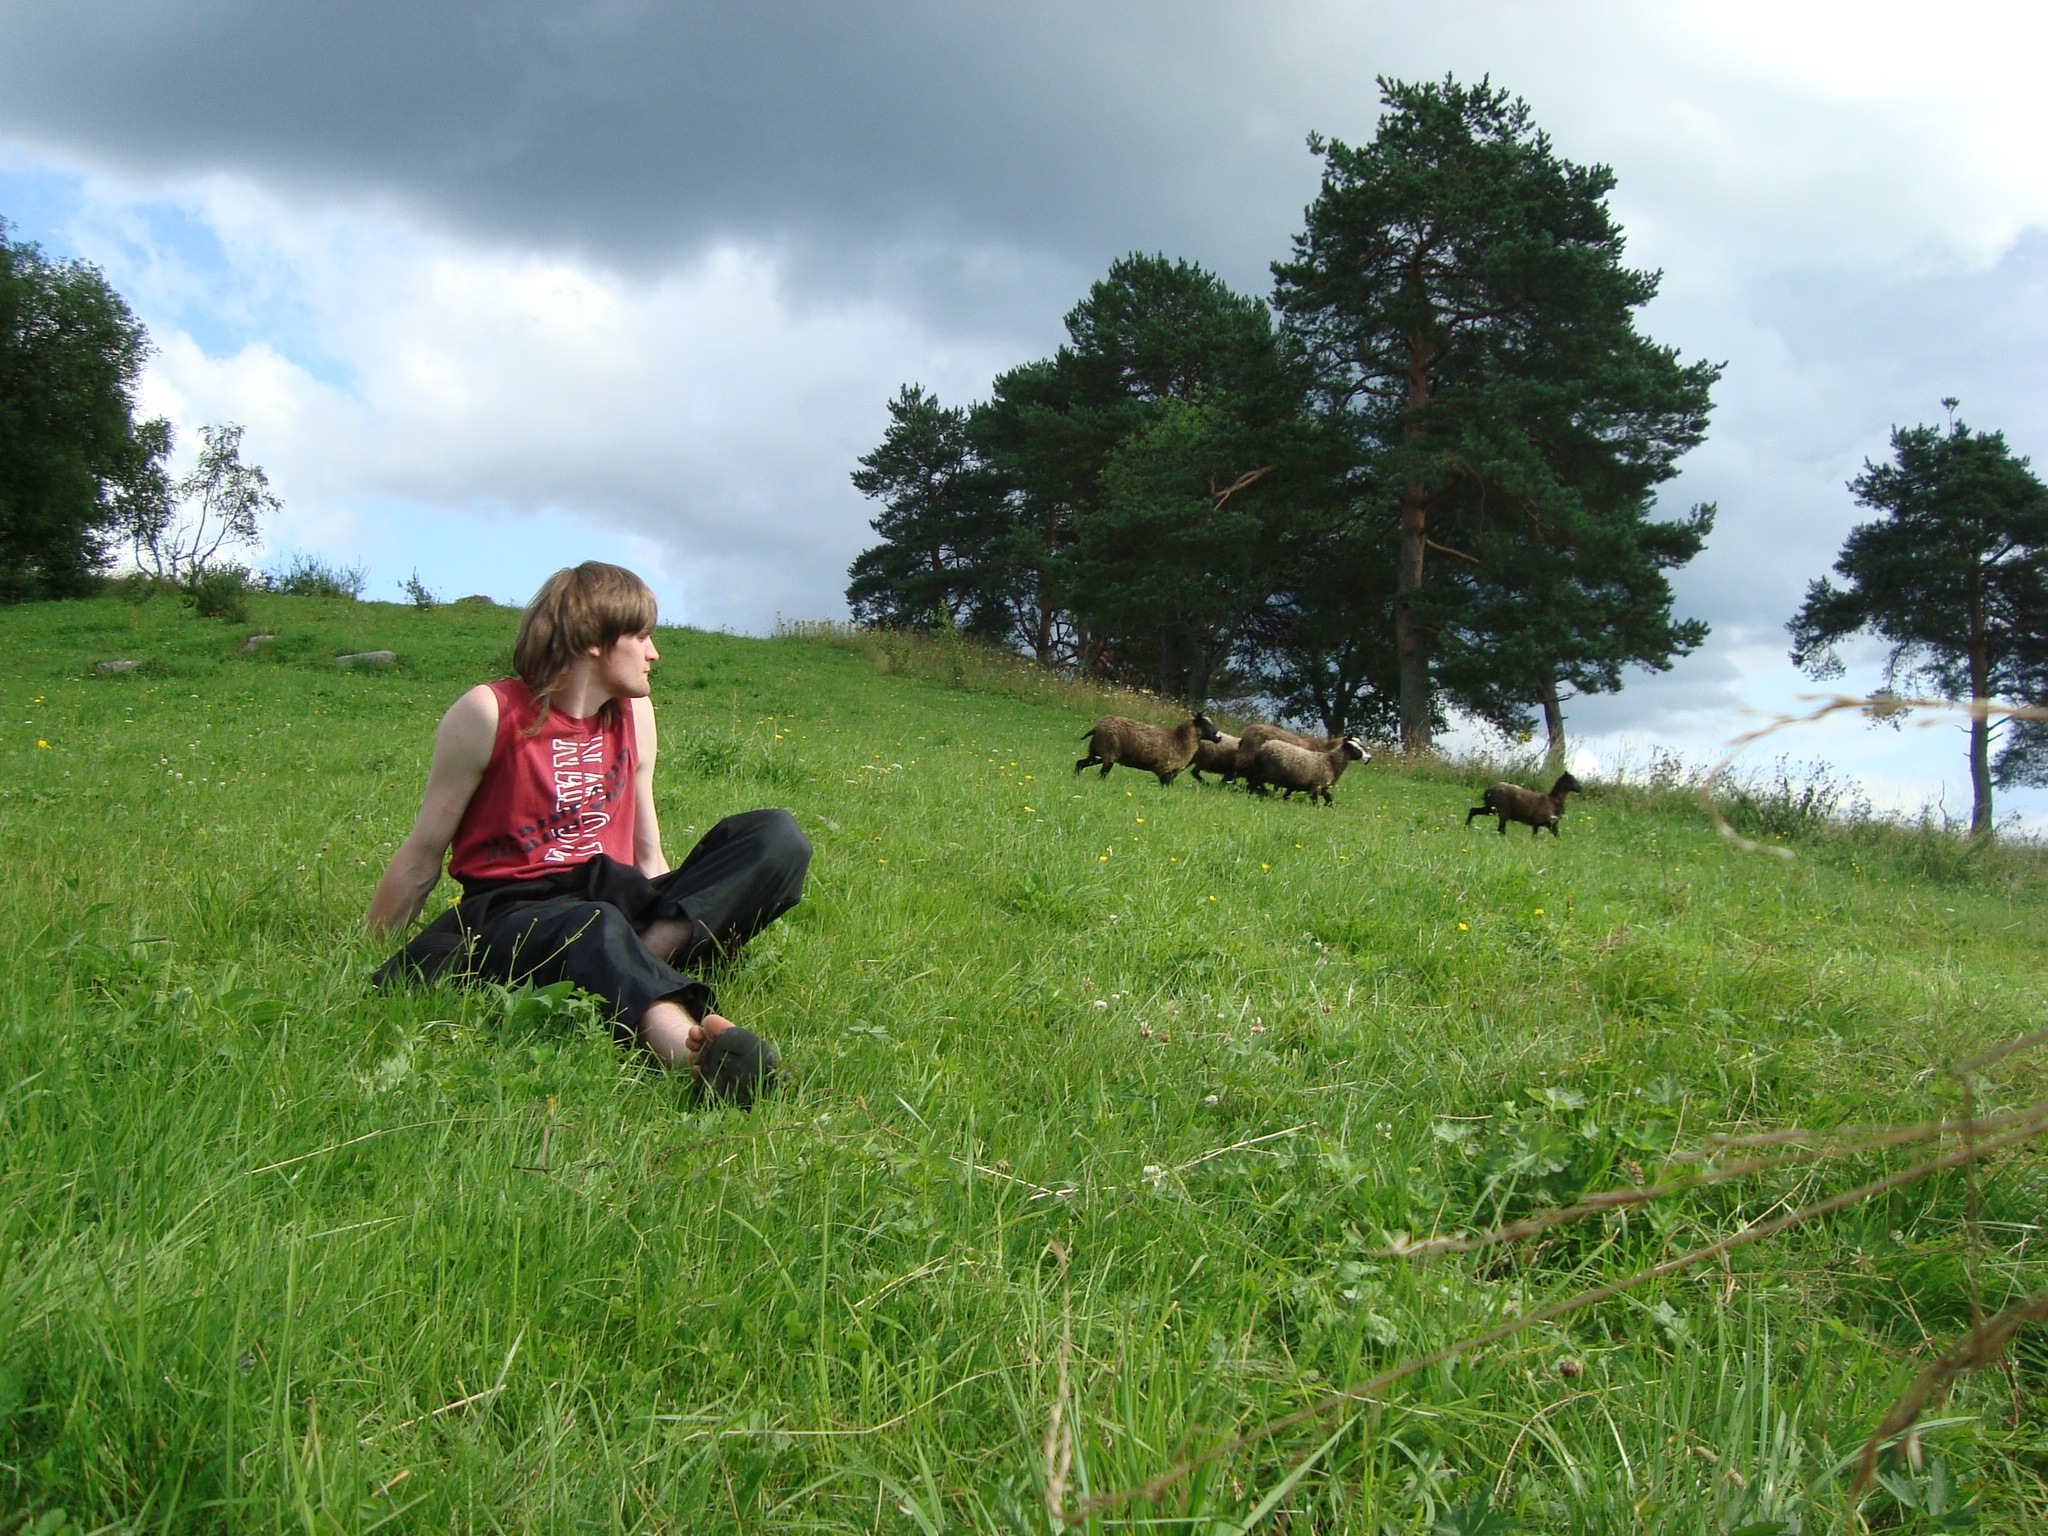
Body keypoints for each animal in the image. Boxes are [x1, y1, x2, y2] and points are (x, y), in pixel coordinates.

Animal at [1075, 712, 1222, 786]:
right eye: (1206, 724)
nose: (1219, 738)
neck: (1180, 739)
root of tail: (1097, 728)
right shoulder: (1165, 770)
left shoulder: (1170, 772)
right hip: (1108, 752)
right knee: (1101, 774)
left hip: (1098, 752)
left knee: (1080, 762)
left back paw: (1075, 777)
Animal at [1242, 736, 1370, 806]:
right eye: (1356, 748)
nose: (1369, 758)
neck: (1331, 762)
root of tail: (1263, 747)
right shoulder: (1315, 787)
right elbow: (1315, 802)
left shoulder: (1321, 788)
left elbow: (1329, 799)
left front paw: (1329, 808)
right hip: (1265, 773)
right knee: (1253, 783)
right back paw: (1253, 794)